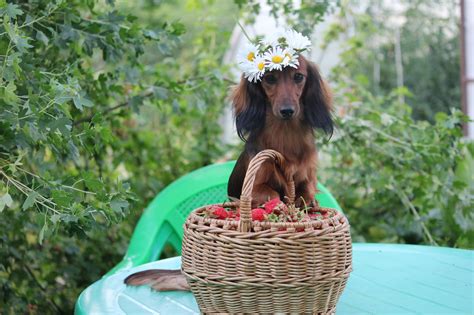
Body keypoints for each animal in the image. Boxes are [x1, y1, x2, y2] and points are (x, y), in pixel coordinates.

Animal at [126, 55, 334, 294]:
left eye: (298, 77)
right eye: (270, 78)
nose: (287, 111)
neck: (286, 136)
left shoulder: (307, 179)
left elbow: (305, 194)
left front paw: (305, 207)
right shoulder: (255, 183)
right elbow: (271, 193)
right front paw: (280, 208)